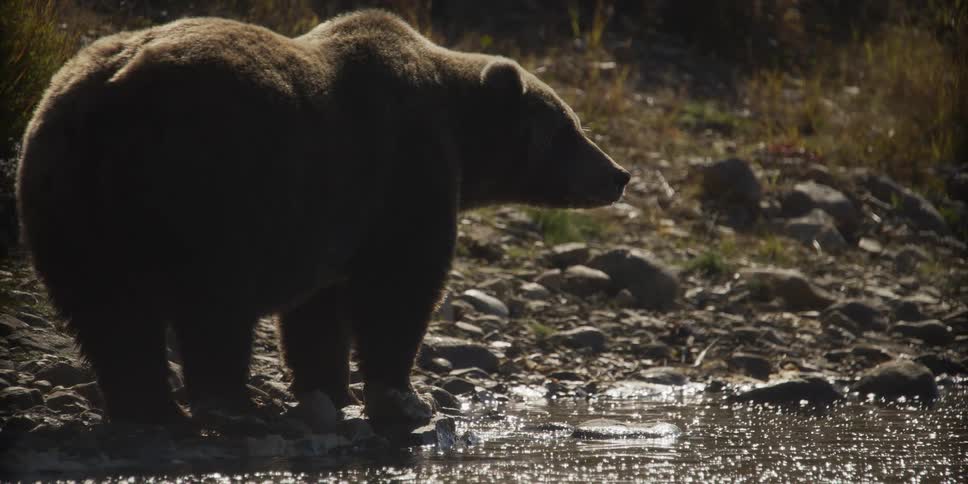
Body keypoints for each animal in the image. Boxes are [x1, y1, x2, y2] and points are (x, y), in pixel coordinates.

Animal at [16, 10, 629, 429]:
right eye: (571, 127)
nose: (618, 174)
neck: (459, 132)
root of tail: (107, 96)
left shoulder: (331, 222)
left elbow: (318, 312)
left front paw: (331, 389)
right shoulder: (405, 173)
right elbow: (400, 287)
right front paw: (404, 397)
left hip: (65, 196)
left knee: (107, 313)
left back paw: (148, 407)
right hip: (206, 187)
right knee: (212, 306)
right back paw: (229, 403)